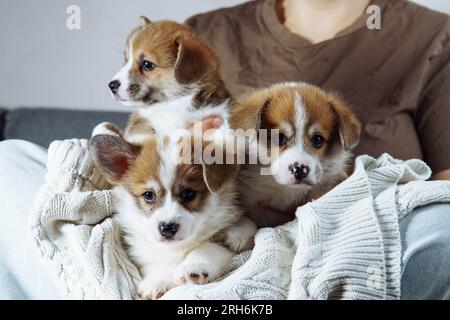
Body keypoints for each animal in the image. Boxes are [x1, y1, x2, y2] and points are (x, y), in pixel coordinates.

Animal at [89, 133, 248, 300]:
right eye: (148, 195)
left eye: (188, 193)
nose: (167, 228)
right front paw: (156, 281)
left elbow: (209, 246)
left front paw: (193, 266)